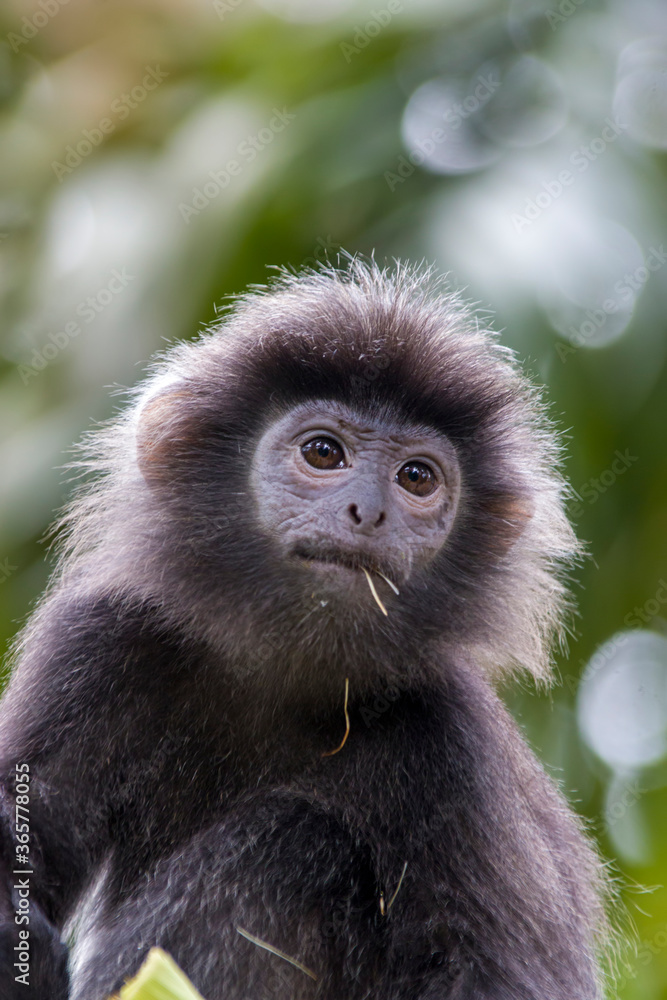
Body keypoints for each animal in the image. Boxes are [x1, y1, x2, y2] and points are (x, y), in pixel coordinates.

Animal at [0, 259, 611, 1000]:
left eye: (416, 477)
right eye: (323, 453)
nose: (369, 512)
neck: (283, 682)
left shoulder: (455, 741)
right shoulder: (97, 641)